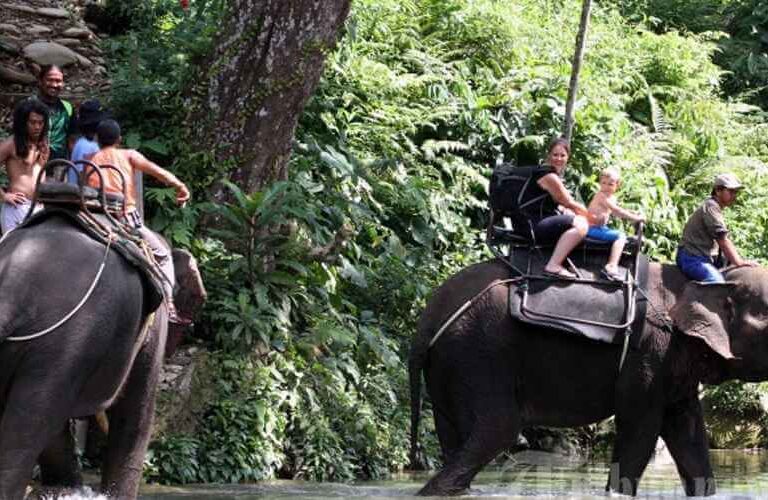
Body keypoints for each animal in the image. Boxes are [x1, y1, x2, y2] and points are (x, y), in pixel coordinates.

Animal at [409, 258, 768, 496]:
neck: (710, 281)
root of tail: (428, 314)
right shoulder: (649, 354)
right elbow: (640, 428)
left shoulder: (674, 366)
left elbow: (688, 433)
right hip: (479, 353)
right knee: (497, 429)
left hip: (451, 366)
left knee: (456, 437)